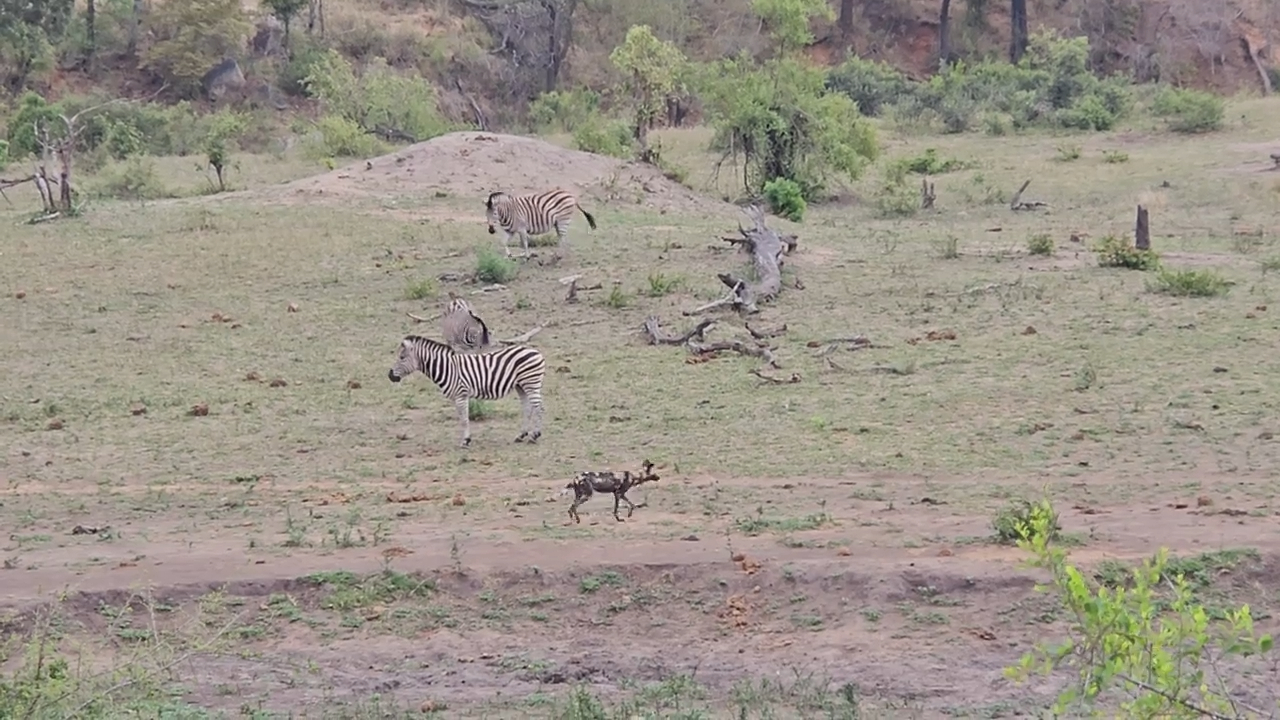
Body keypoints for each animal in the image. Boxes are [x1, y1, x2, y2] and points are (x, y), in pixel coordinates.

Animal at [387, 335, 546, 448]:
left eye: (401, 357)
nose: (390, 376)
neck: (447, 368)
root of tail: (536, 352)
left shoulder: (461, 394)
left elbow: (464, 419)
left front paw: (465, 441)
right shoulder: (456, 397)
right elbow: (462, 418)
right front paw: (466, 439)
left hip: (531, 382)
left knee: (539, 407)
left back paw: (534, 436)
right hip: (521, 386)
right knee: (527, 408)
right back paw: (521, 435)